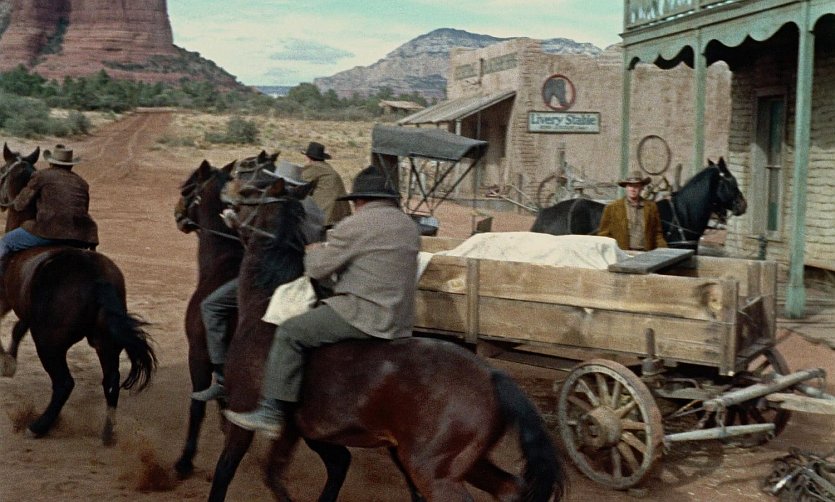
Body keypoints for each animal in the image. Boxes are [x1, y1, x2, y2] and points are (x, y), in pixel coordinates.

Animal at [0, 143, 156, 444]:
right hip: (105, 342)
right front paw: (9, 362)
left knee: (64, 383)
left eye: (2, 170)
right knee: (111, 381)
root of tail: (97, 280)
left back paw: (37, 426)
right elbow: (17, 329)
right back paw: (108, 433)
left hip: (50, 343)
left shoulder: (4, 300)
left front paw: (5, 362)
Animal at [207, 165, 567, 501]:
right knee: (511, 488)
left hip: (433, 473)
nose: (227, 186)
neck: (268, 306)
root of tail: (494, 377)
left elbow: (229, 471)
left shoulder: (244, 420)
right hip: (468, 464)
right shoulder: (302, 432)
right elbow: (285, 473)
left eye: (252, 191)